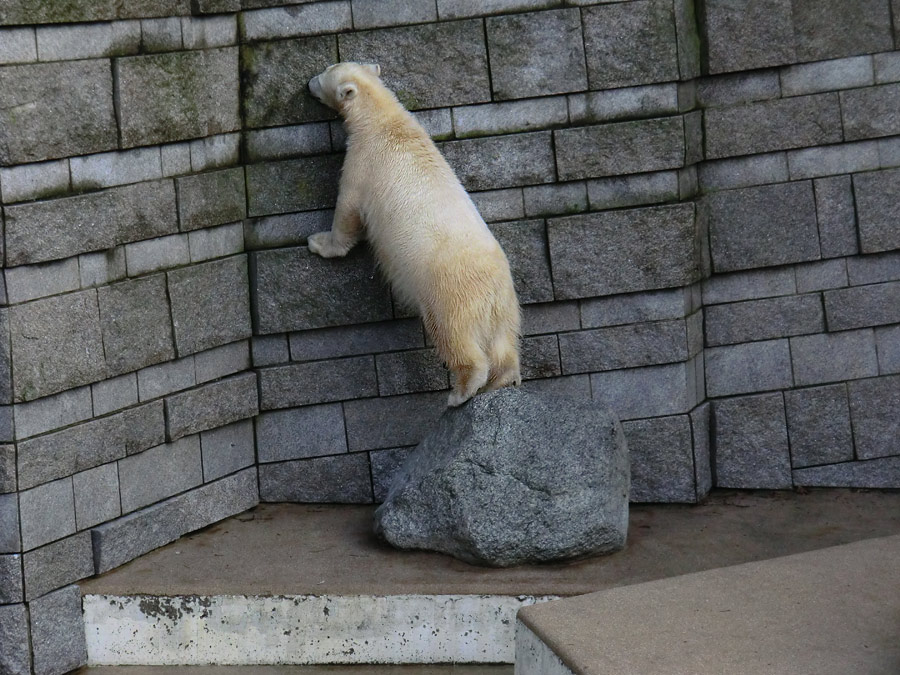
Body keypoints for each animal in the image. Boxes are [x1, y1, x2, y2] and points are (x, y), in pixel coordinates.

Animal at [308, 62, 520, 406]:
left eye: (325, 73)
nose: (309, 82)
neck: (383, 119)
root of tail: (492, 291)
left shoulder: (361, 164)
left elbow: (348, 212)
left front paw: (319, 242)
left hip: (447, 294)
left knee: (453, 337)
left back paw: (461, 391)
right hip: (506, 307)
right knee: (504, 343)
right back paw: (502, 380)